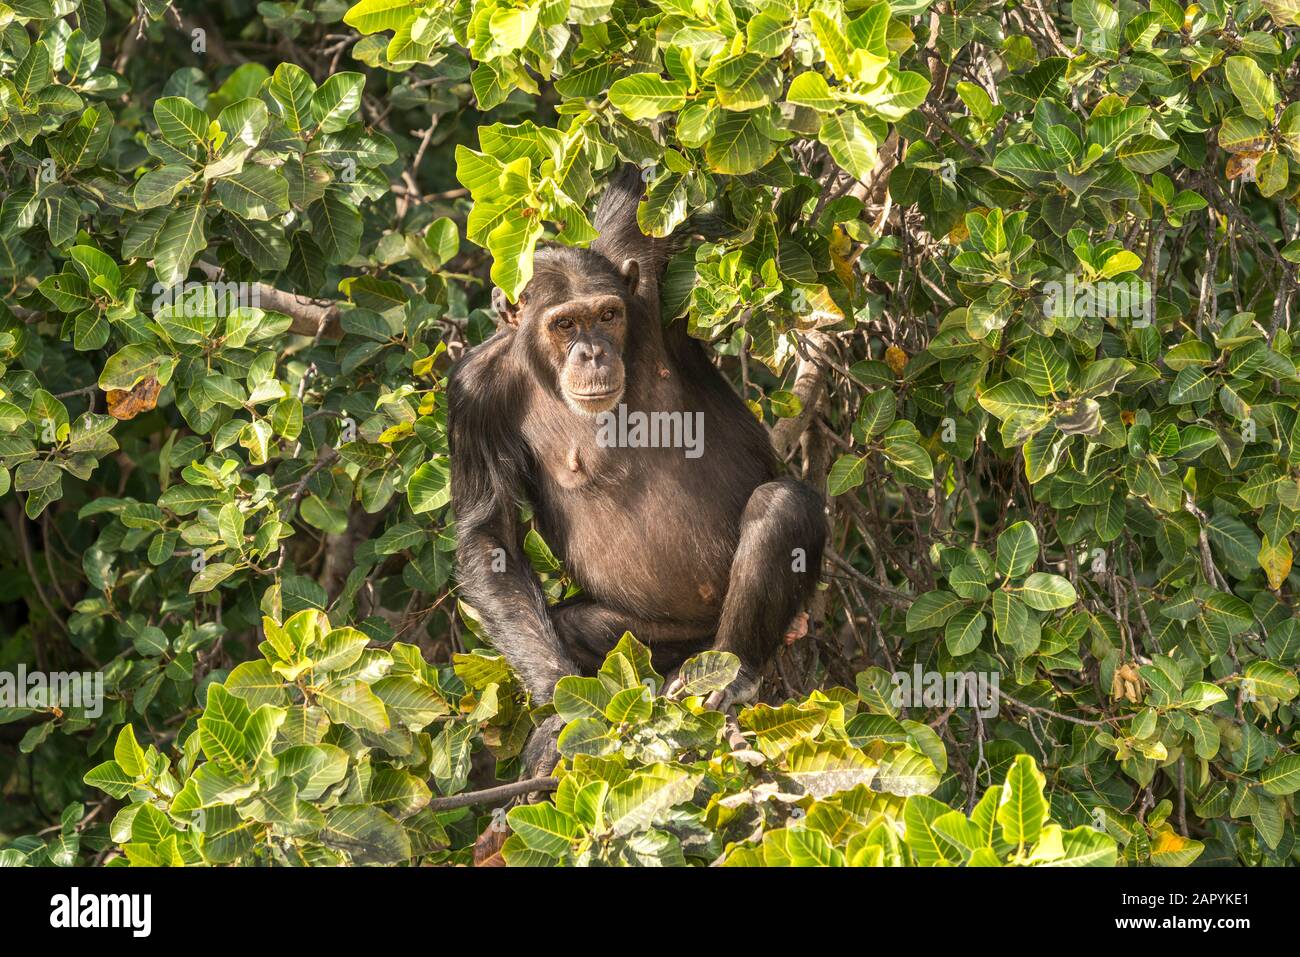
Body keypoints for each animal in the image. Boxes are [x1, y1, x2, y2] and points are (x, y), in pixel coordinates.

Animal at [447, 166, 826, 780]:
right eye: (564, 323)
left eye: (607, 315)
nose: (592, 352)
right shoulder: (471, 395)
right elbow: (490, 533)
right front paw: (559, 712)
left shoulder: (644, 280)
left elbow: (641, 204)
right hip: (655, 639)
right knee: (574, 629)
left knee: (781, 506)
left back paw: (734, 673)